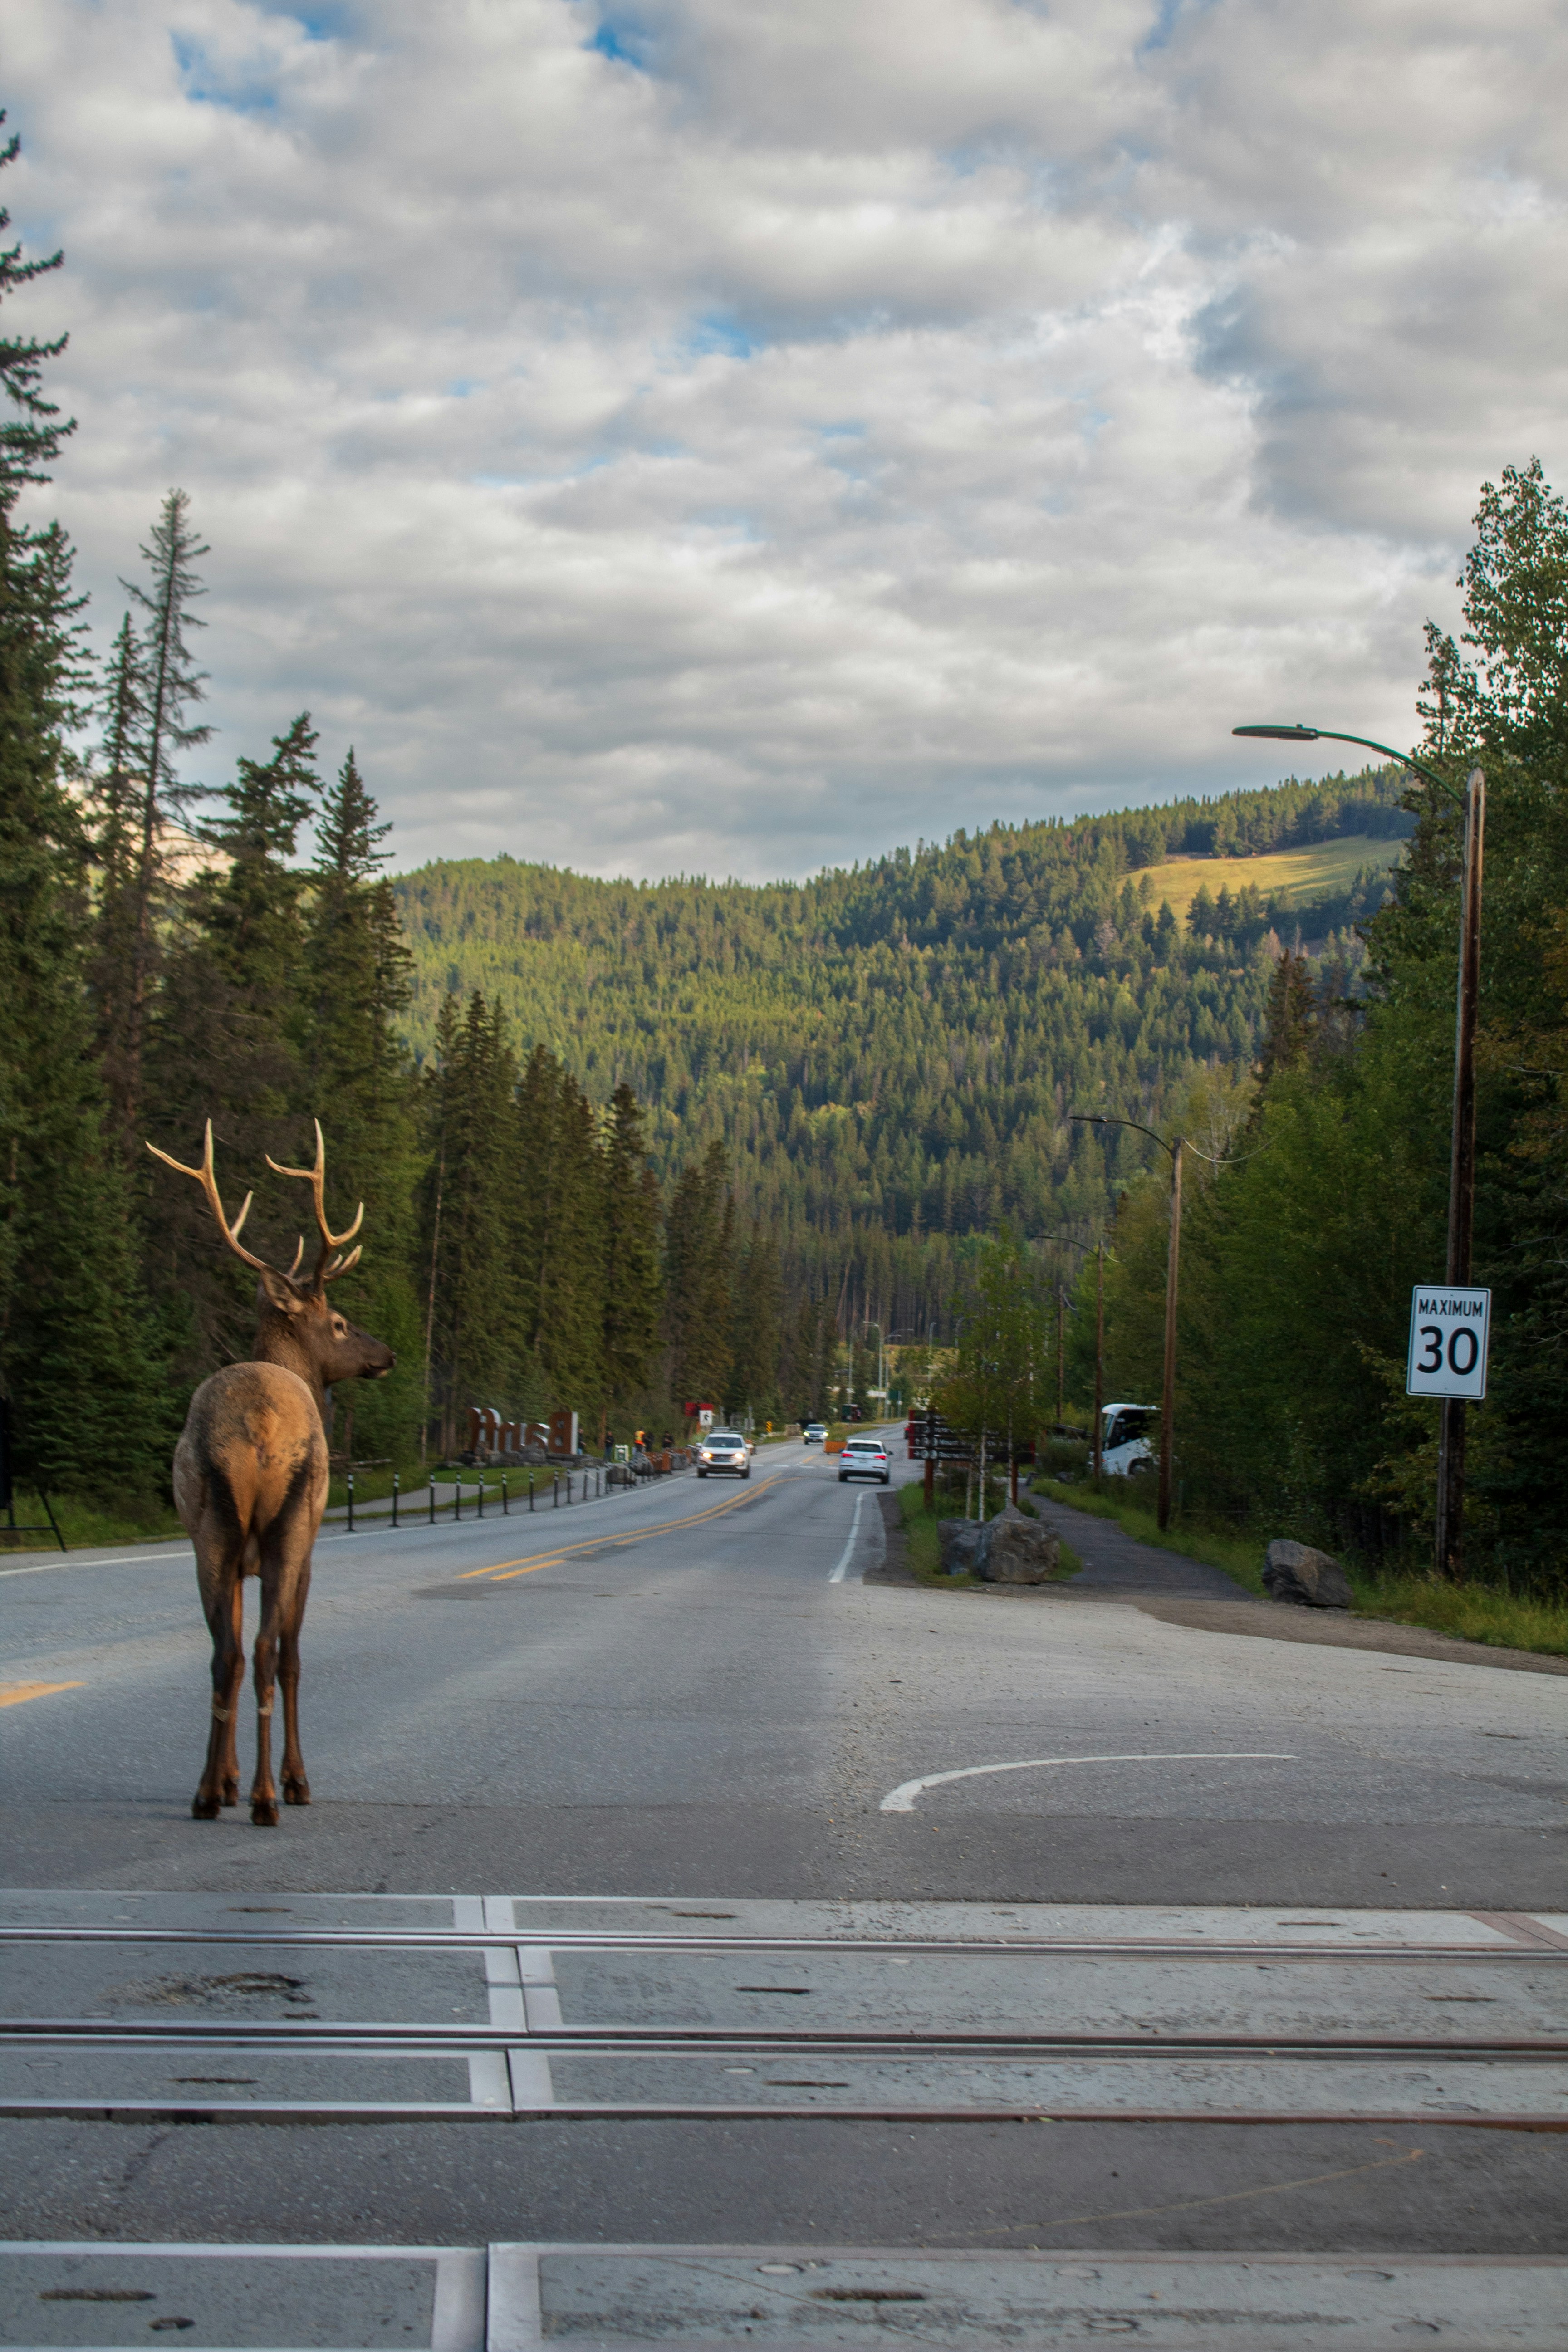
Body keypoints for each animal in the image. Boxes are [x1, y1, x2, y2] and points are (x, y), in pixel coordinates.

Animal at [147, 1121, 395, 1825]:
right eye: (338, 1322)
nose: (387, 1354)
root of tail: (257, 1425)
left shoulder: (235, 1558)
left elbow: (229, 1651)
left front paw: (227, 1778)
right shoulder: (308, 1548)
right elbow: (292, 1660)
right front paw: (289, 1780)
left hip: (211, 1530)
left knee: (225, 1654)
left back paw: (209, 1794)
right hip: (288, 1526)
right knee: (265, 1653)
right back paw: (270, 1797)